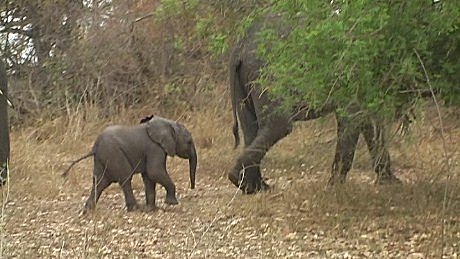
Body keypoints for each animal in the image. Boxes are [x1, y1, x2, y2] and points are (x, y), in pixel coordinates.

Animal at [62, 116, 197, 213]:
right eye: (189, 142)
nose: (192, 187)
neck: (168, 124)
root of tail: (94, 147)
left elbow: (149, 178)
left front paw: (152, 209)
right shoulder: (155, 148)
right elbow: (155, 172)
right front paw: (172, 203)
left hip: (103, 158)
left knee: (100, 182)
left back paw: (88, 210)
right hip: (114, 154)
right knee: (125, 179)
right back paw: (136, 209)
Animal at [228, 15, 400, 195]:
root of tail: (238, 51)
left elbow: (369, 121)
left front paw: (391, 182)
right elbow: (353, 118)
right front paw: (335, 187)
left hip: (244, 81)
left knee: (251, 130)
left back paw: (255, 187)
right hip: (267, 75)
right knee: (279, 126)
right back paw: (244, 181)